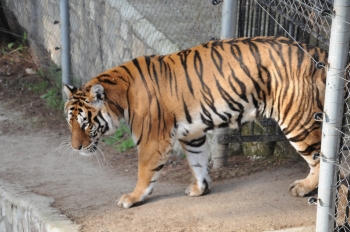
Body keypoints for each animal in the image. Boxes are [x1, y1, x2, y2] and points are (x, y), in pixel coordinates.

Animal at [63, 36, 328, 208]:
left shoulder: (152, 140)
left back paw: (304, 188)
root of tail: (319, 51)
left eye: (85, 123)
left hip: (297, 120)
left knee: (319, 158)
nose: (75, 148)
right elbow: (197, 162)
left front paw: (132, 198)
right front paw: (200, 188)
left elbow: (144, 173)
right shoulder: (192, 134)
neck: (120, 96)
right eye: (70, 123)